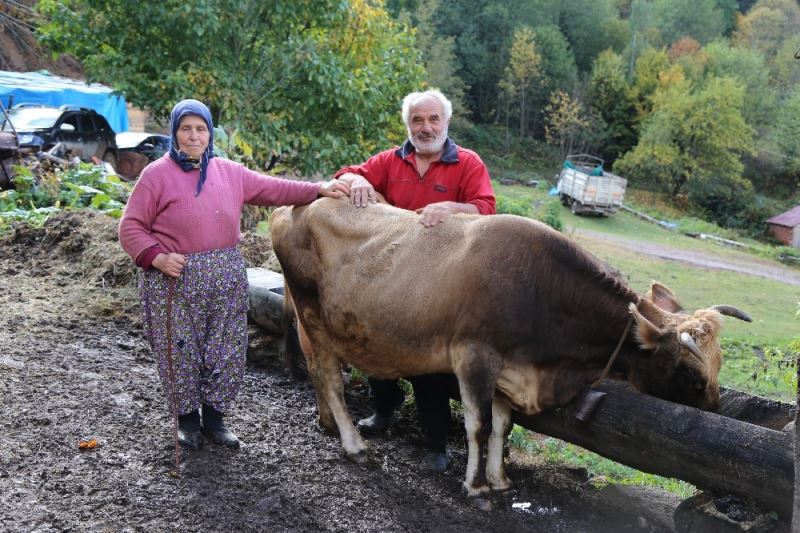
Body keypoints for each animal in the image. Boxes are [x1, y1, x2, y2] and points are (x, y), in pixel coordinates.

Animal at [270, 197, 752, 504]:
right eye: (691, 375)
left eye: (720, 365)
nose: (716, 412)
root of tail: (296, 204)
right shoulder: (474, 357)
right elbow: (479, 426)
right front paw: (476, 487)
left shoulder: (512, 370)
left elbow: (503, 425)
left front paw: (500, 480)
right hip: (313, 316)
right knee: (328, 375)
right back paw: (354, 445)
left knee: (318, 373)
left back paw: (328, 424)